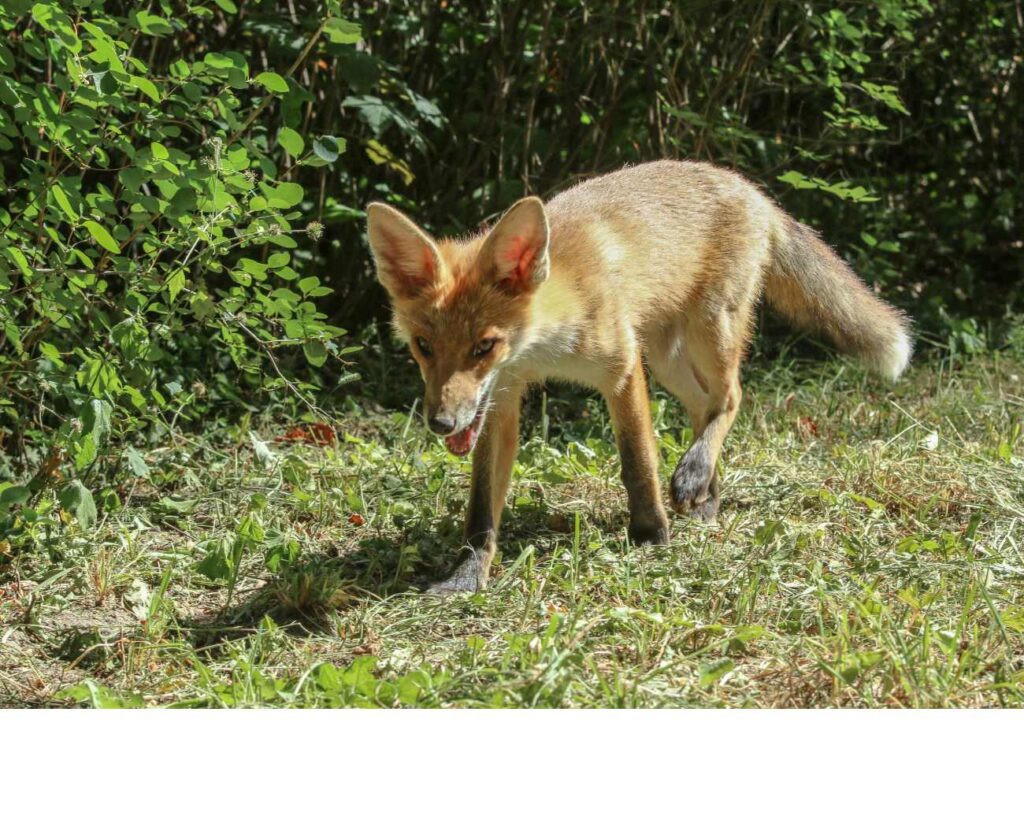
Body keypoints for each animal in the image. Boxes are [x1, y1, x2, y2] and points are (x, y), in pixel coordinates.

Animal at [366, 160, 912, 593]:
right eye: (424, 347)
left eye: (484, 346)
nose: (441, 423)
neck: (545, 343)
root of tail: (749, 187)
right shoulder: (502, 395)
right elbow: (482, 506)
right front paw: (467, 573)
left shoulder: (622, 367)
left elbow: (638, 464)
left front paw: (651, 537)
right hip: (668, 358)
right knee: (704, 406)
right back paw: (707, 493)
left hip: (708, 331)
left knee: (733, 397)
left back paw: (693, 474)